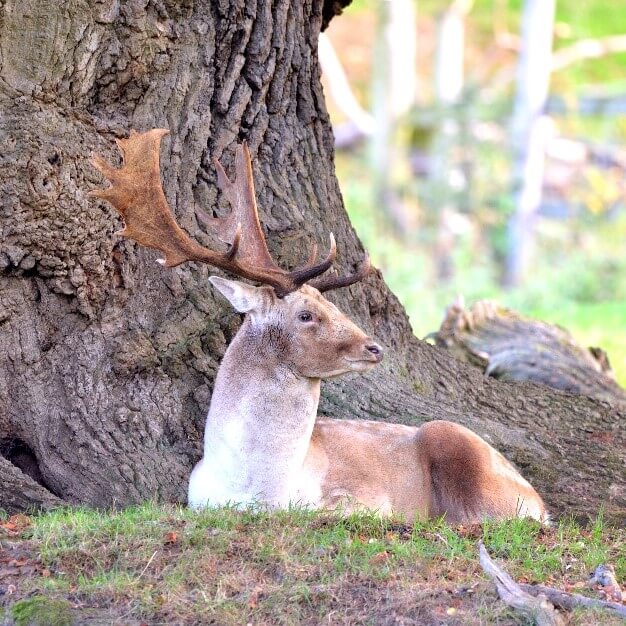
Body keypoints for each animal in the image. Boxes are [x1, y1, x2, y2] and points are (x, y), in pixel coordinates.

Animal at [91, 129, 544, 524]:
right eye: (306, 315)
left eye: (331, 304)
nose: (374, 347)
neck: (258, 491)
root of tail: (539, 500)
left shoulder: (362, 497)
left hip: (459, 445)